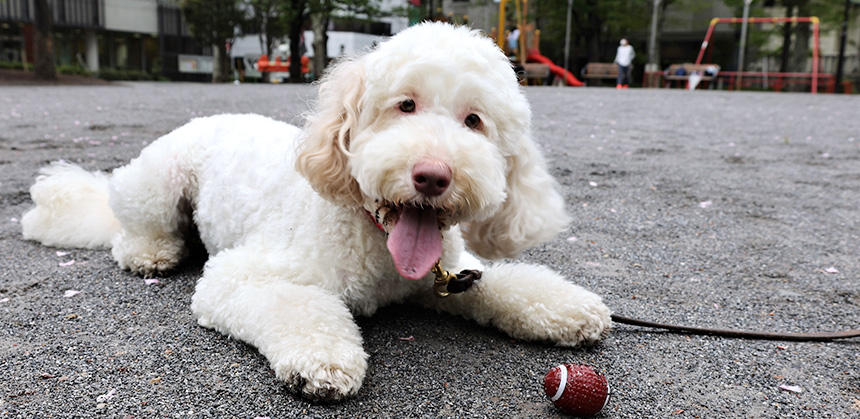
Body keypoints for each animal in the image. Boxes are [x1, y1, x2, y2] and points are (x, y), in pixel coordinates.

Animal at [21, 23, 612, 404]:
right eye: (405, 105)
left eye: (474, 121)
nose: (433, 175)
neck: (375, 237)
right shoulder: (243, 274)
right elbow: (299, 306)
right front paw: (324, 360)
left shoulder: (448, 275)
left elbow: (506, 283)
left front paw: (569, 310)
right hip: (158, 182)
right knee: (130, 228)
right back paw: (152, 252)